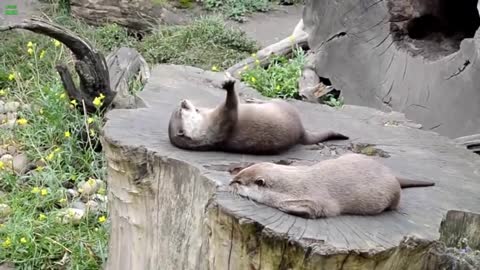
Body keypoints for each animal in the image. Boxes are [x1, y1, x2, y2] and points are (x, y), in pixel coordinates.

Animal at [169, 77, 348, 155]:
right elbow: (231, 105)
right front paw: (229, 86)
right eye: (180, 112)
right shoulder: (222, 120)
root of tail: (301, 131)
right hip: (284, 106)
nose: (183, 101)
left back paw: (253, 99)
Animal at [229, 153, 436, 218]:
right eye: (238, 176)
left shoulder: (320, 201)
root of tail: (391, 174)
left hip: (393, 195)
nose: (231, 182)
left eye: (239, 182)